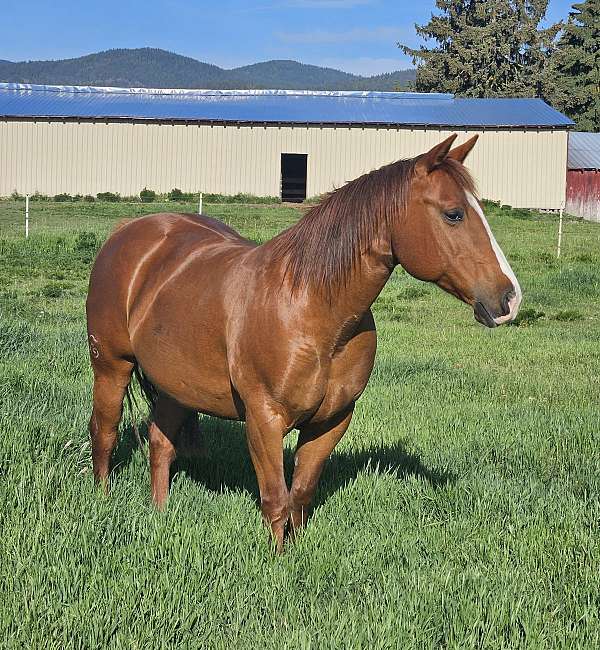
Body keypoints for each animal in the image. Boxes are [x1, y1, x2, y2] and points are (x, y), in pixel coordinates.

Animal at [86, 134, 521, 551]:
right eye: (454, 213)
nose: (510, 299)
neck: (312, 308)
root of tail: (128, 231)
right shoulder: (264, 420)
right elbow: (275, 499)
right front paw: (276, 563)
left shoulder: (332, 421)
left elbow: (300, 495)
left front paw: (294, 555)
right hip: (111, 365)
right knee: (104, 433)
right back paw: (103, 500)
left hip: (177, 385)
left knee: (160, 444)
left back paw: (159, 511)